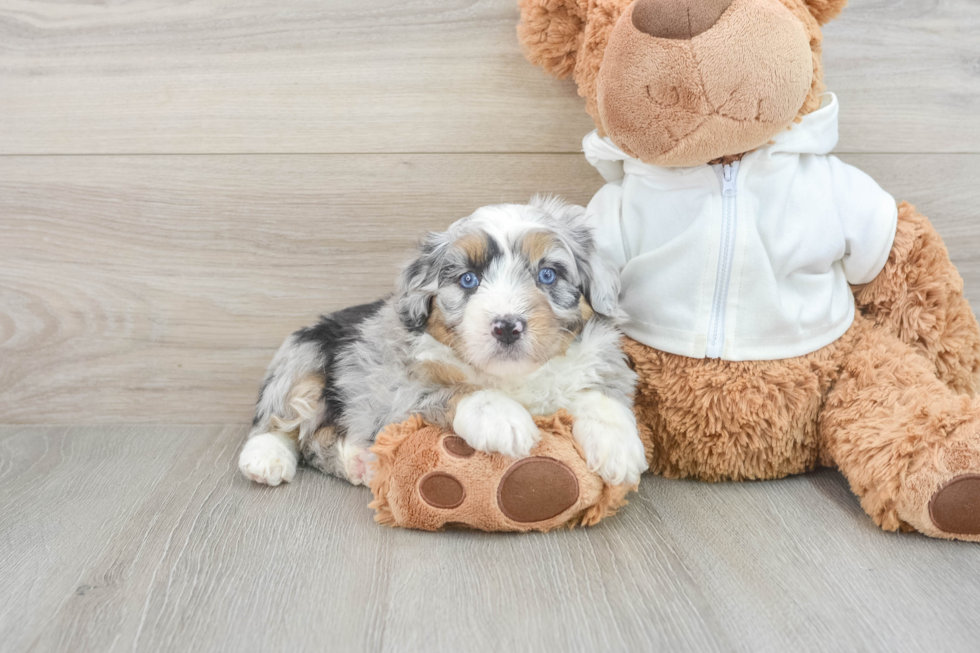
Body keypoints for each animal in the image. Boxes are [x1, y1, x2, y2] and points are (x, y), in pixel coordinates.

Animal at [240, 199, 648, 488]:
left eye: (547, 274)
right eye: (468, 279)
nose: (507, 326)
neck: (513, 378)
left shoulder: (602, 361)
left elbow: (600, 394)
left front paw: (620, 449)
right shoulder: (395, 390)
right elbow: (458, 390)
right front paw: (505, 419)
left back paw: (357, 463)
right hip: (301, 353)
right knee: (281, 421)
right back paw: (265, 458)